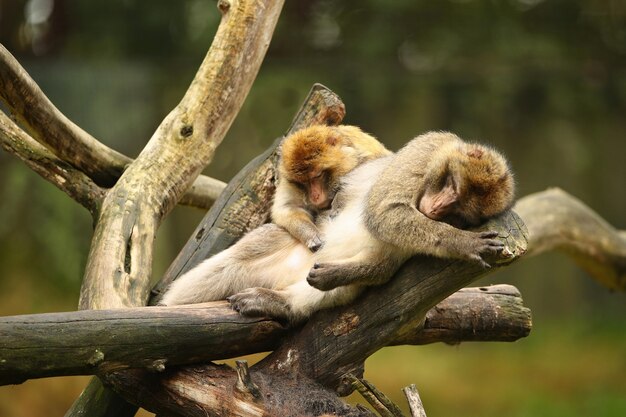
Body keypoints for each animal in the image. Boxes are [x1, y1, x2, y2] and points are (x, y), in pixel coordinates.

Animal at [160, 132, 512, 324]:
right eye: (451, 186)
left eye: (460, 212)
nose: (437, 209)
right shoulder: (426, 149)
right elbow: (383, 213)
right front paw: (463, 244)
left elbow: (383, 266)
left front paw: (334, 275)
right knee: (247, 252)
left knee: (332, 290)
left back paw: (280, 303)